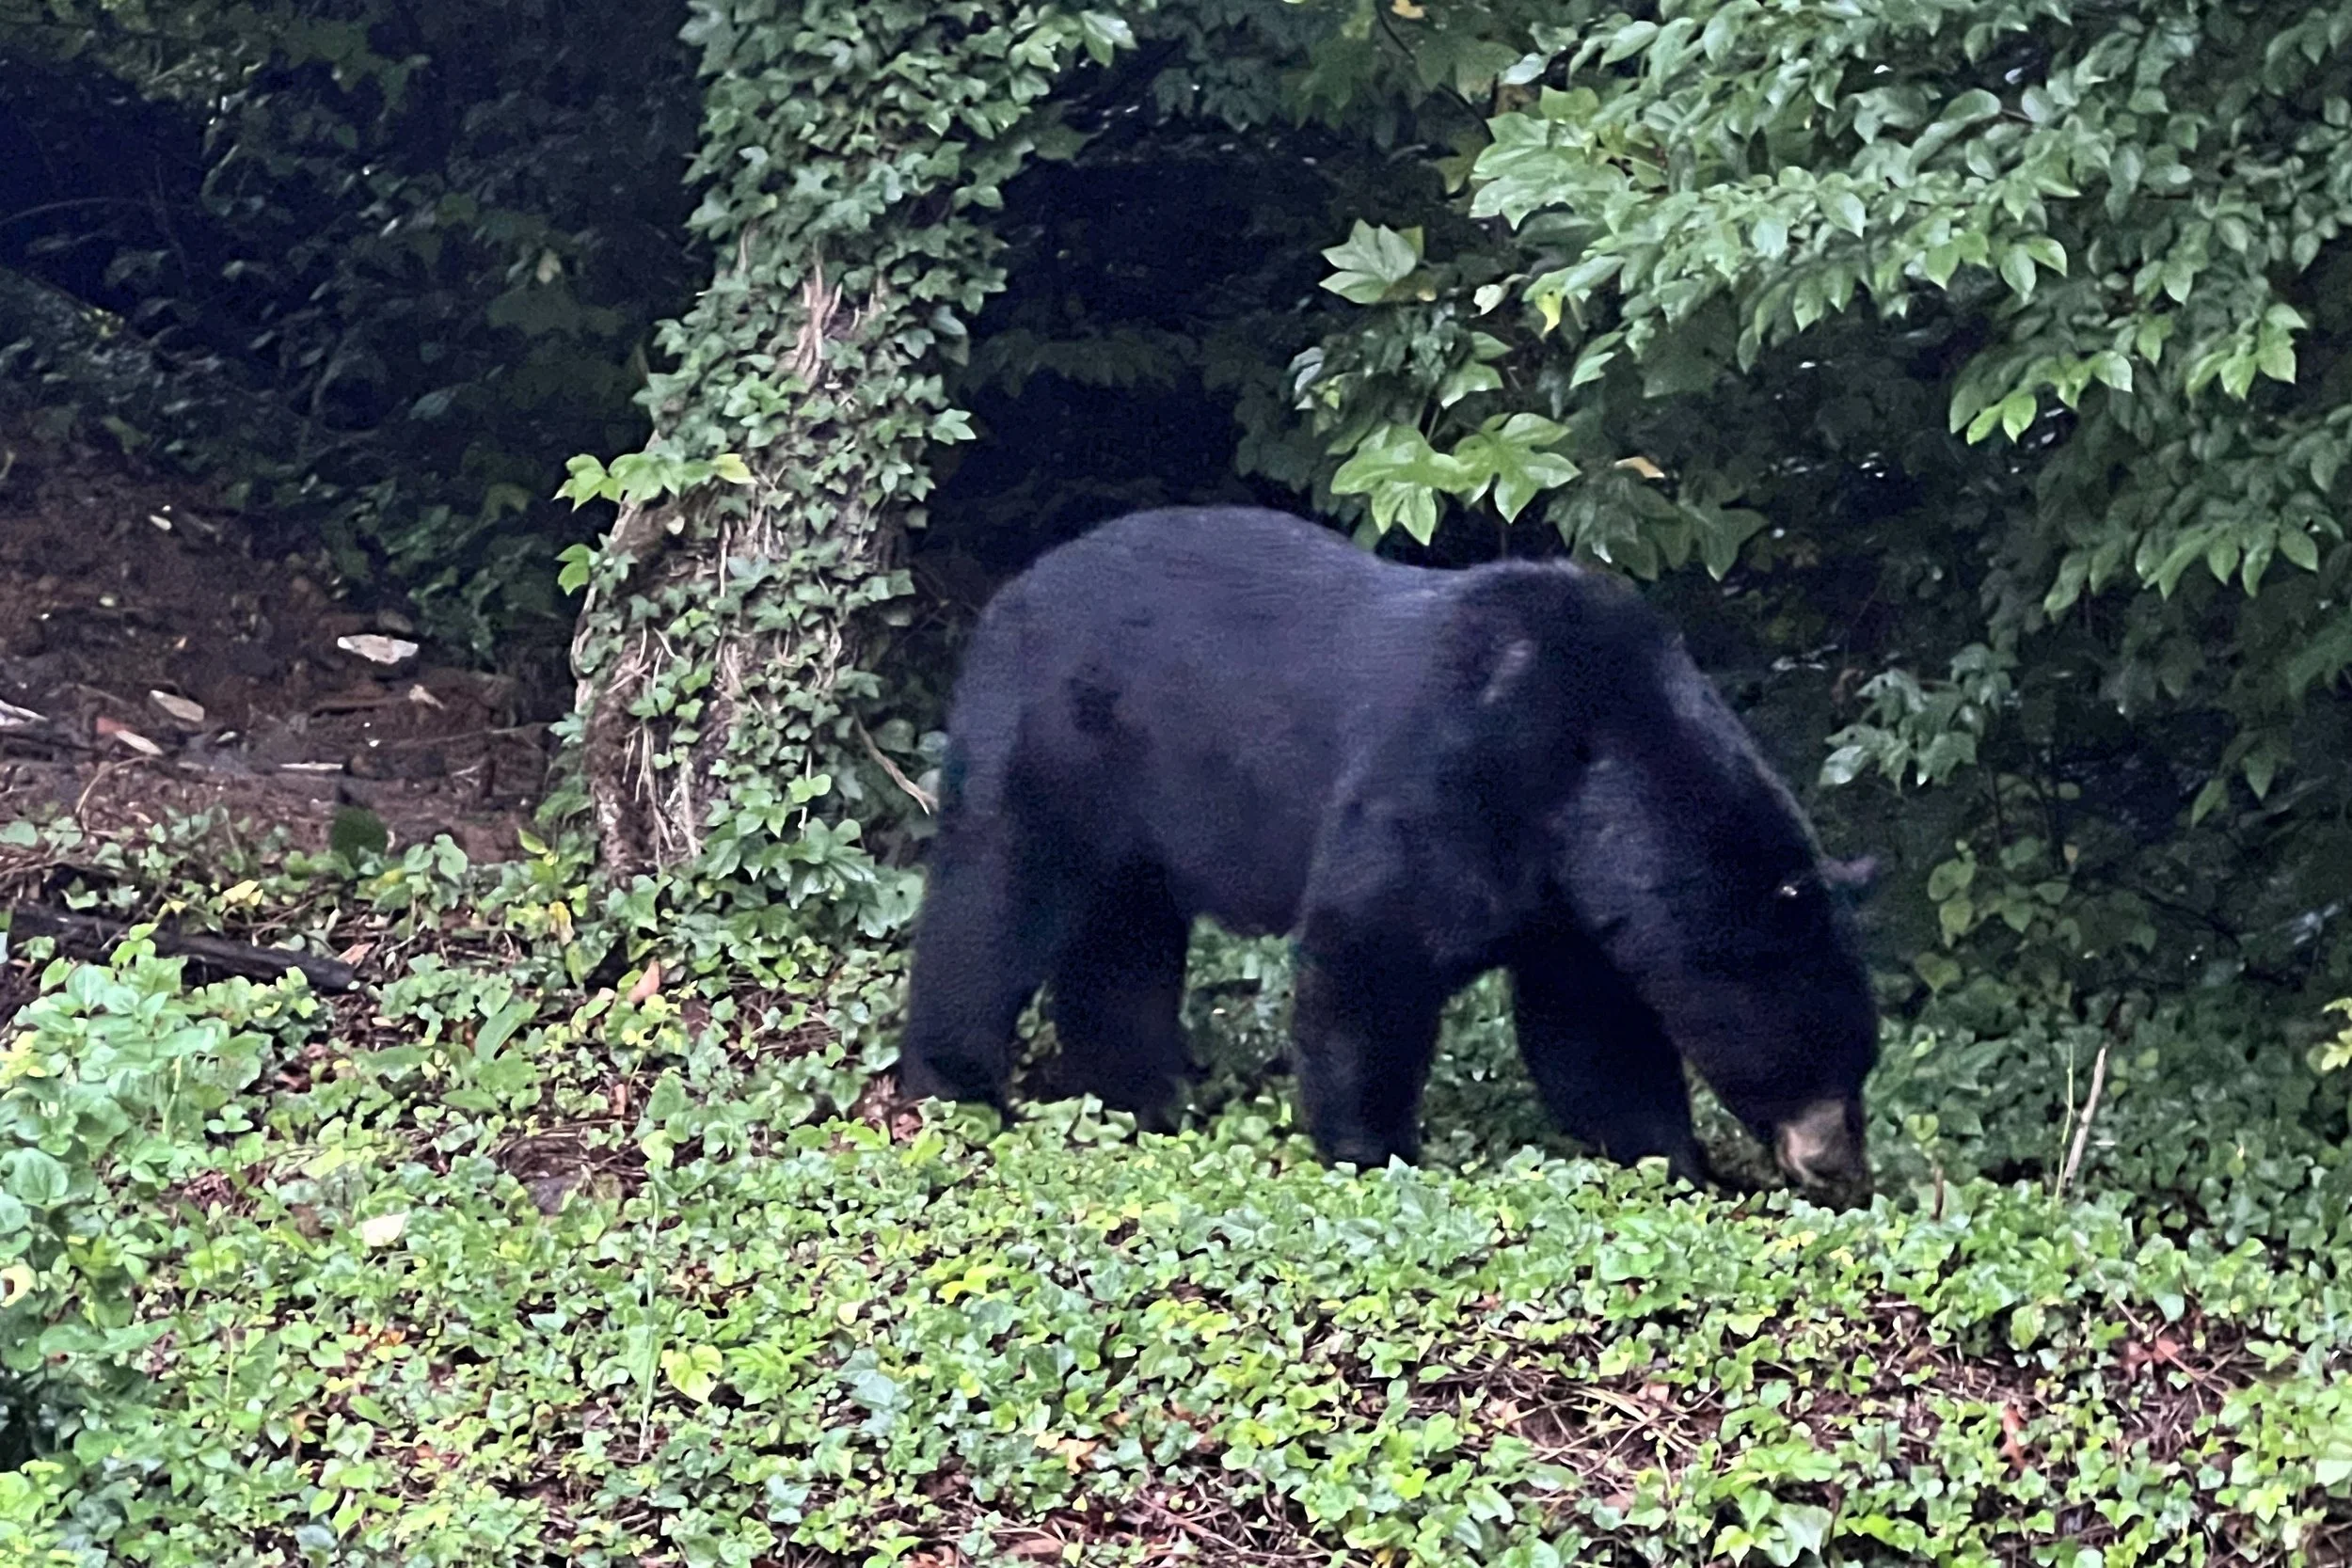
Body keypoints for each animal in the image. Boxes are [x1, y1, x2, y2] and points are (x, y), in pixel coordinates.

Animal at [896, 505, 1879, 1191]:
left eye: (1860, 1063)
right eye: (1826, 1057)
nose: (1840, 1166)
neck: (1595, 766)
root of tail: (1007, 596)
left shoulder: (1568, 899)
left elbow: (1589, 1027)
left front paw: (1671, 1160)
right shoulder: (1452, 771)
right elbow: (1373, 947)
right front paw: (1377, 1146)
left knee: (1123, 939)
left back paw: (1143, 1093)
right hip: (1057, 740)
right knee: (997, 897)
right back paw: (959, 1081)